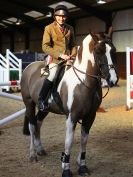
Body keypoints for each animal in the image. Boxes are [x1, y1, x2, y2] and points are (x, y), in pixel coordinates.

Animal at [20, 32, 117, 176]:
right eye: (99, 51)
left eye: (113, 50)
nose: (113, 80)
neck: (84, 81)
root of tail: (29, 67)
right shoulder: (72, 116)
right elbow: (68, 142)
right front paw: (66, 169)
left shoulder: (90, 116)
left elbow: (84, 140)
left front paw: (82, 166)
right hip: (29, 104)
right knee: (32, 126)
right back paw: (32, 155)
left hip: (45, 109)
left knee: (38, 123)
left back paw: (40, 149)